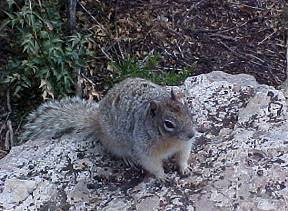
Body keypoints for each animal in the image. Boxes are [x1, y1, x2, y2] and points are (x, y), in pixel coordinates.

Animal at [21, 78, 195, 181]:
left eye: (186, 110)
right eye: (168, 124)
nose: (192, 134)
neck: (170, 141)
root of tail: (97, 121)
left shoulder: (184, 145)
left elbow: (183, 156)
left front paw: (184, 168)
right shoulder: (145, 150)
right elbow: (152, 165)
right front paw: (162, 176)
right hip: (115, 143)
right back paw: (127, 158)